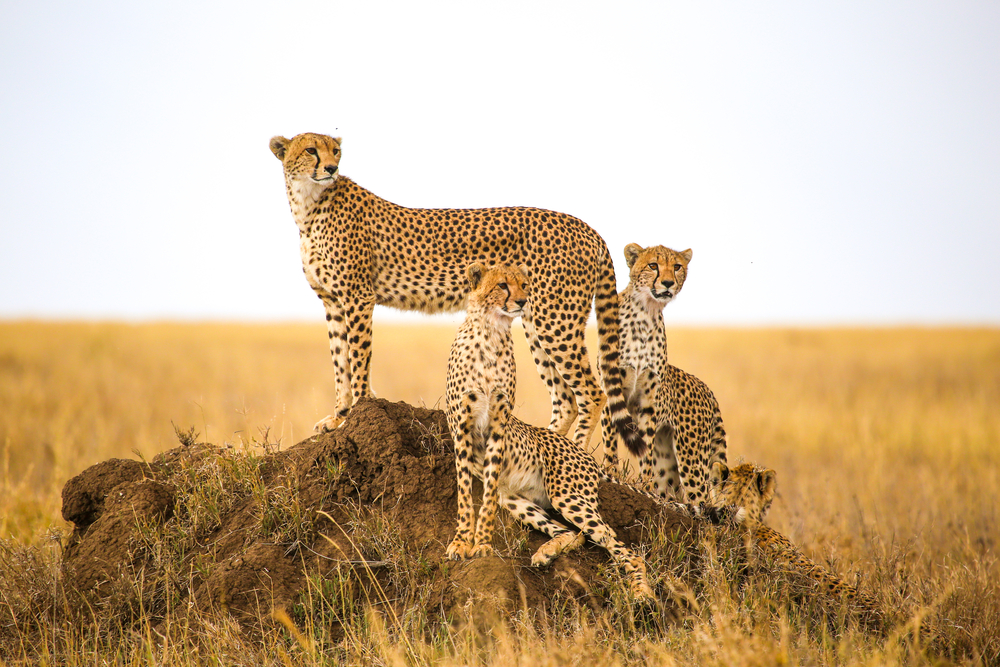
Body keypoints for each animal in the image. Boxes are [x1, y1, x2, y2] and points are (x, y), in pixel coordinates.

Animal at [268, 132, 640, 454]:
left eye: (336, 151)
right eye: (311, 150)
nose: (331, 168)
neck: (309, 204)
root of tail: (586, 227)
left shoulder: (357, 296)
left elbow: (357, 359)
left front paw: (355, 413)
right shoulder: (332, 301)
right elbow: (339, 362)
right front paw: (338, 417)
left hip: (555, 320)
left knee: (592, 393)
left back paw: (576, 454)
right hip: (536, 320)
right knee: (565, 398)